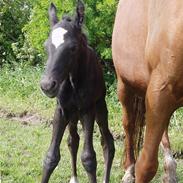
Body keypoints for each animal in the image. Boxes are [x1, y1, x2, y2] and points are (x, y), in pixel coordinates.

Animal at [40, 0, 114, 182]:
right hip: (73, 116)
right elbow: (51, 157)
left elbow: (89, 158)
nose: (47, 85)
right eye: (46, 46)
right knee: (72, 140)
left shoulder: (88, 111)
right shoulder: (61, 110)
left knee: (107, 142)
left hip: (100, 108)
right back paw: (74, 177)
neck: (73, 81)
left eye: (73, 48)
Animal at [112, 0, 182, 182]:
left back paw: (169, 170)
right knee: (129, 125)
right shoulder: (160, 91)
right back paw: (129, 170)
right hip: (125, 86)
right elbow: (146, 165)